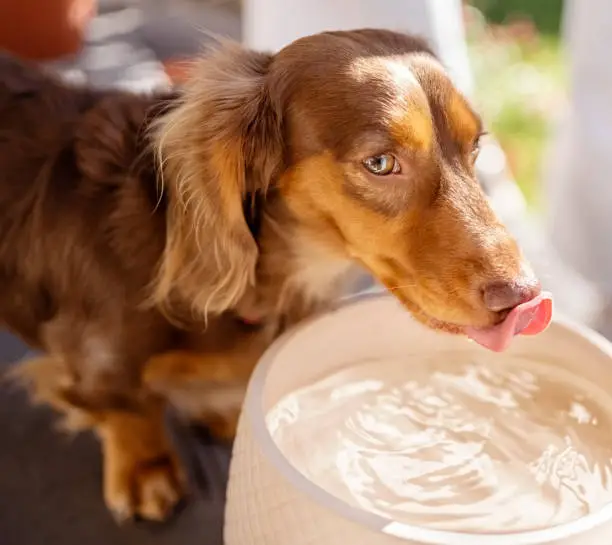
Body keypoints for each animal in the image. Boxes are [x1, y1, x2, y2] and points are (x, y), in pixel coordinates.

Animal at [1, 29, 544, 524]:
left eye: (476, 146)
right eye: (380, 163)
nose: (523, 297)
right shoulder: (97, 355)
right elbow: (125, 407)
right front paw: (145, 468)